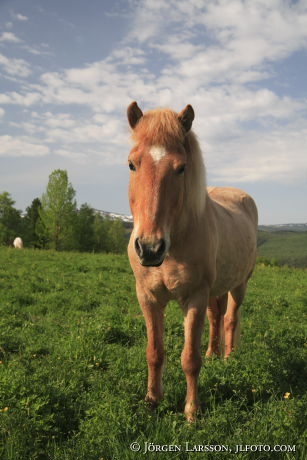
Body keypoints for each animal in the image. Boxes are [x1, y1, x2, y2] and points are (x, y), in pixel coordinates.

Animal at [126, 100, 258, 420]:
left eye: (181, 168)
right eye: (132, 164)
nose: (150, 248)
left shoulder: (195, 298)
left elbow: (189, 359)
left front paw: (191, 412)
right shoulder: (148, 298)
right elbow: (155, 352)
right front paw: (152, 400)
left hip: (239, 285)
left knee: (230, 319)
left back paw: (229, 359)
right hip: (216, 290)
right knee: (216, 317)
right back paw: (213, 354)